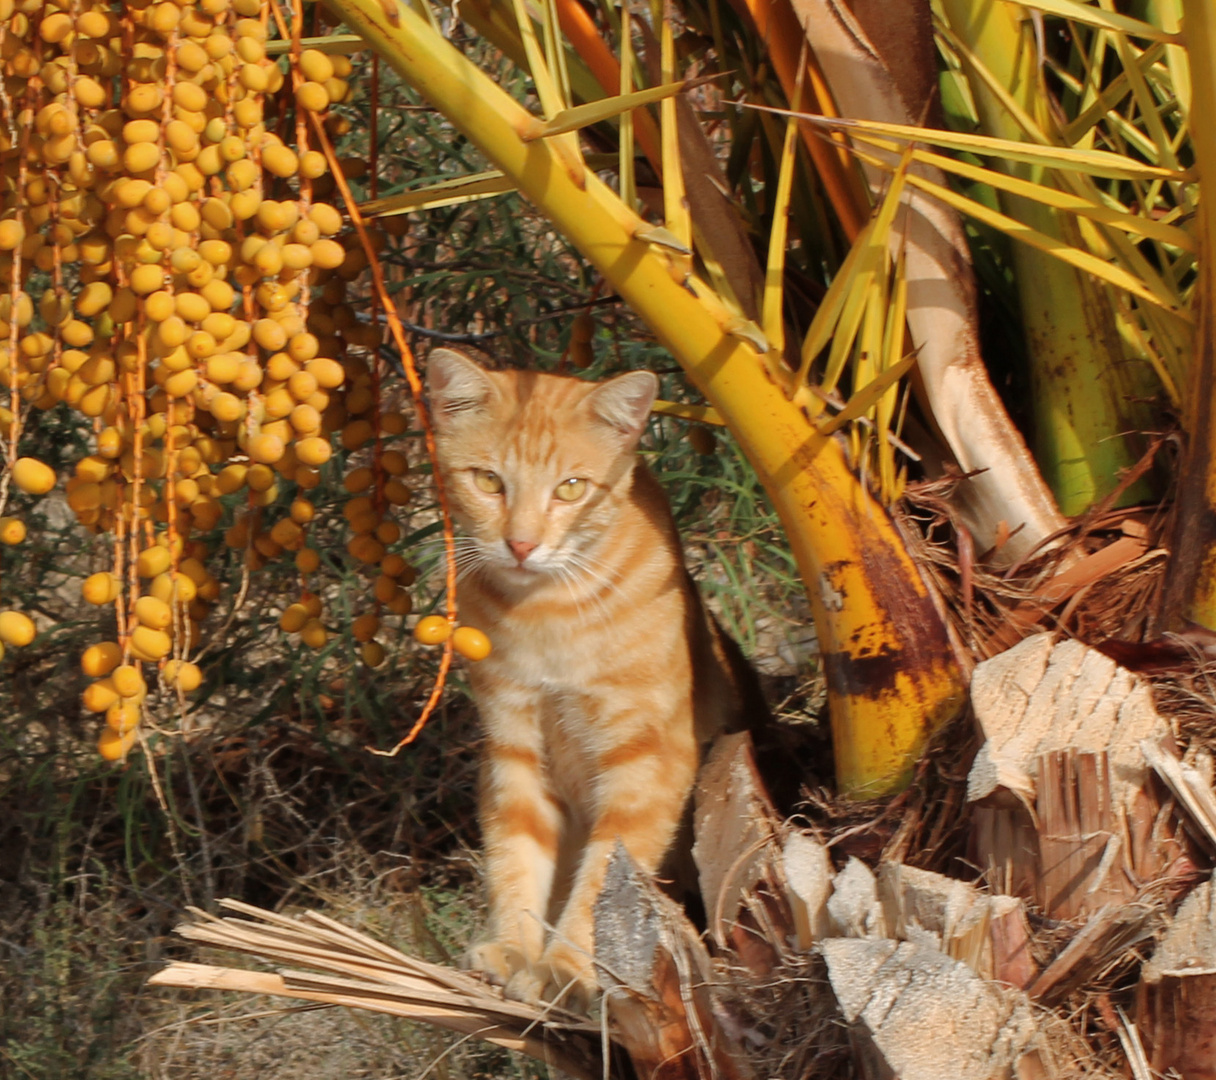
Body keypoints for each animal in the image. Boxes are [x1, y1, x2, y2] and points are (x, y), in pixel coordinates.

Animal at [423, 350, 753, 1007]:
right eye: (489, 481)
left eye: (571, 488)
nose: (521, 544)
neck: (545, 616)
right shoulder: (513, 749)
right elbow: (515, 857)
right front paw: (514, 949)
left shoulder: (649, 759)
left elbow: (606, 878)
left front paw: (567, 968)